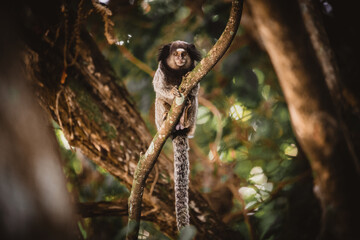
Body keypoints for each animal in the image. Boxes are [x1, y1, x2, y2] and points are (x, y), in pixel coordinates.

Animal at [153, 40, 201, 230]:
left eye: (184, 54)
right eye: (175, 54)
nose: (180, 59)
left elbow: (195, 91)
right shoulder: (161, 73)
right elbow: (159, 87)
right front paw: (172, 92)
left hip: (192, 121)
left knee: (193, 101)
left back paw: (185, 115)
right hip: (160, 122)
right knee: (159, 100)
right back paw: (167, 116)